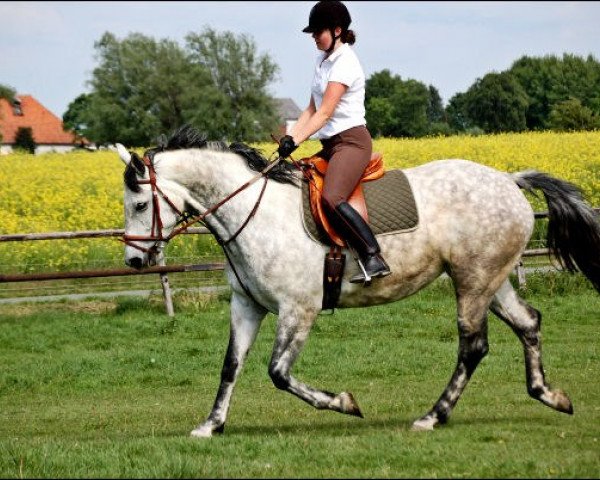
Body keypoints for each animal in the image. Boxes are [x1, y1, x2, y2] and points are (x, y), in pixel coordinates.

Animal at [116, 125, 600, 436]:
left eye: (140, 204)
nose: (135, 261)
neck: (252, 211)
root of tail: (509, 180)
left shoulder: (299, 309)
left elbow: (278, 373)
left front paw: (345, 403)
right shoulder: (247, 305)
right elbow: (231, 365)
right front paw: (211, 424)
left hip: (473, 281)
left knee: (473, 345)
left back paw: (433, 416)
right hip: (489, 279)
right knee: (528, 322)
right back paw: (550, 395)